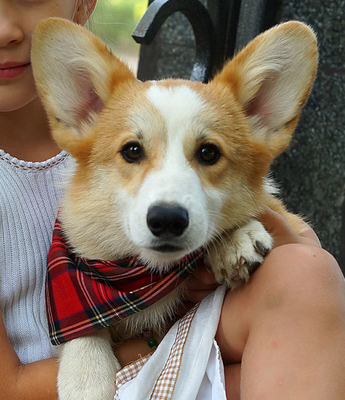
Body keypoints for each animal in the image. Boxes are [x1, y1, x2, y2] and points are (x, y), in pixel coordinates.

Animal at [32, 18, 318, 400]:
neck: (149, 274)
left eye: (209, 152)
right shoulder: (74, 280)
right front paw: (86, 378)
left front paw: (236, 239)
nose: (167, 220)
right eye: (132, 150)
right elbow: (82, 331)